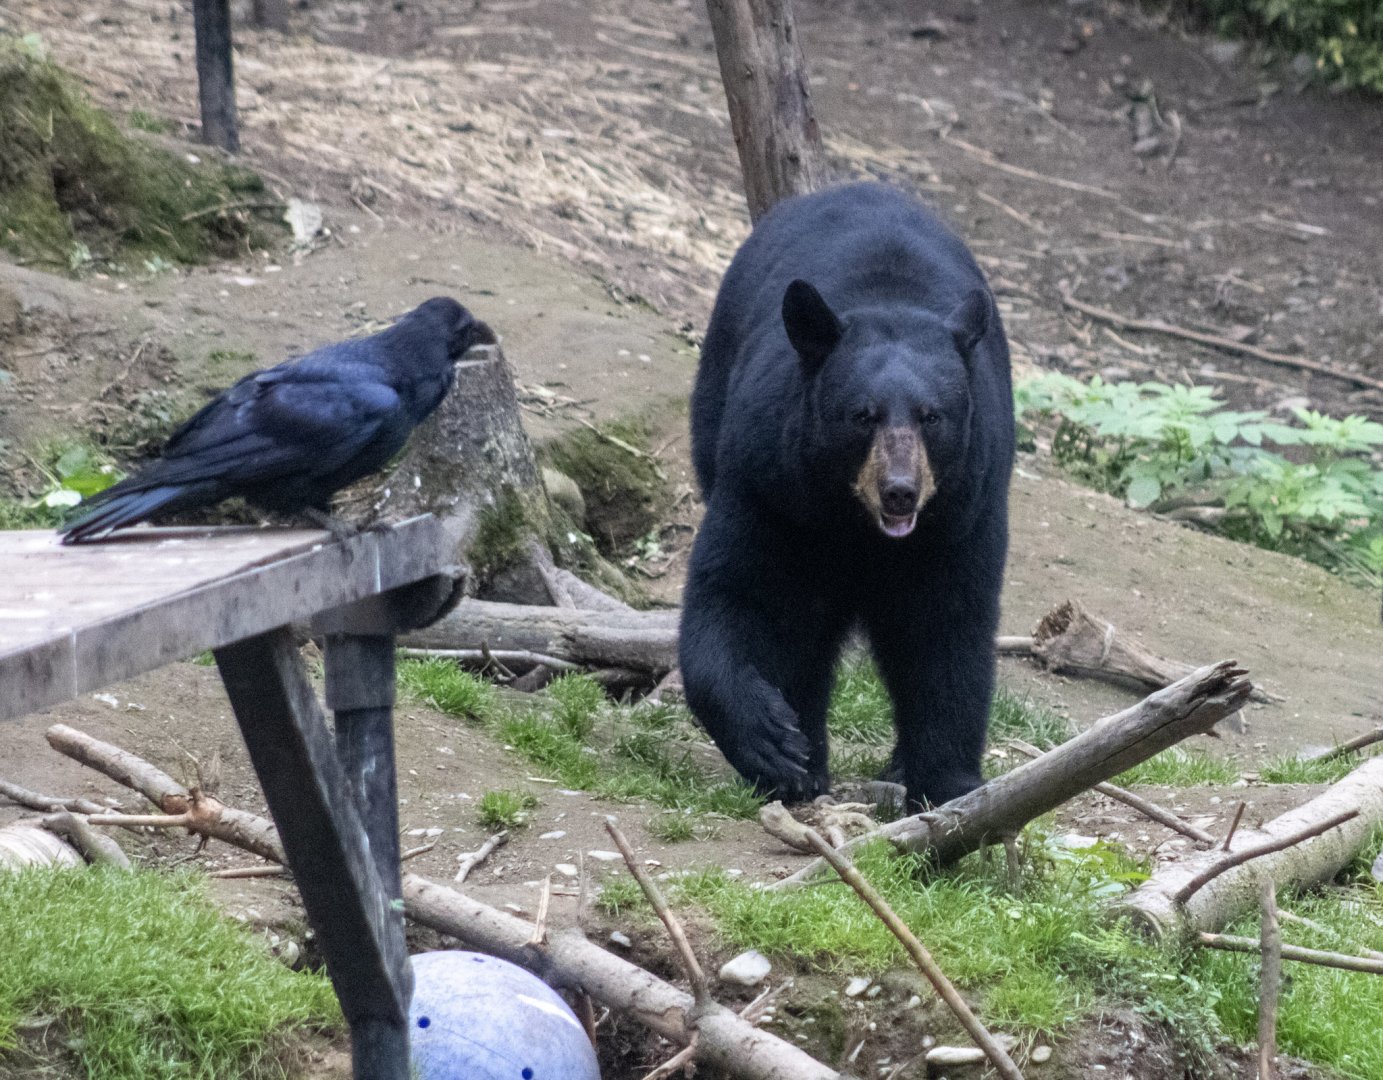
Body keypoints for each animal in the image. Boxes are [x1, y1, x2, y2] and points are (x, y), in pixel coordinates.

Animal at [679, 181, 1014, 811]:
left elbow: (947, 629)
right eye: (863, 415)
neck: (856, 526)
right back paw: (808, 759)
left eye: (932, 416)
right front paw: (775, 745)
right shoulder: (770, 484)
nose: (901, 492)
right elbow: (740, 594)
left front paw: (947, 782)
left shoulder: (965, 510)